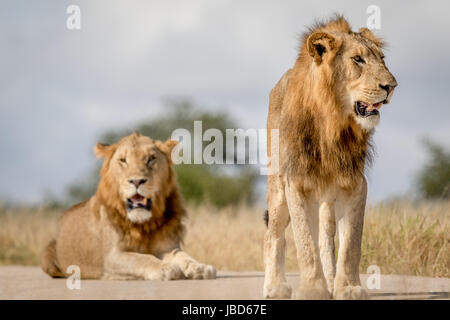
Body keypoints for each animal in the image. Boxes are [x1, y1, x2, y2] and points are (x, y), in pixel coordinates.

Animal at [41, 132, 216, 280]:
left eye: (151, 158)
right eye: (123, 160)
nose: (137, 181)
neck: (145, 224)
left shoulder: (168, 247)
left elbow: (184, 257)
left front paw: (200, 268)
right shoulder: (112, 256)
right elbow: (142, 258)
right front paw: (165, 268)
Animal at [264, 15, 398, 300]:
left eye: (382, 58)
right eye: (357, 60)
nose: (391, 86)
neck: (333, 121)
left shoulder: (355, 184)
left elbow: (350, 245)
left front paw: (347, 287)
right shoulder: (296, 183)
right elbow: (305, 243)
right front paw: (312, 289)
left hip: (325, 198)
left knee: (325, 237)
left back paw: (329, 280)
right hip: (278, 190)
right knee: (274, 235)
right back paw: (275, 285)